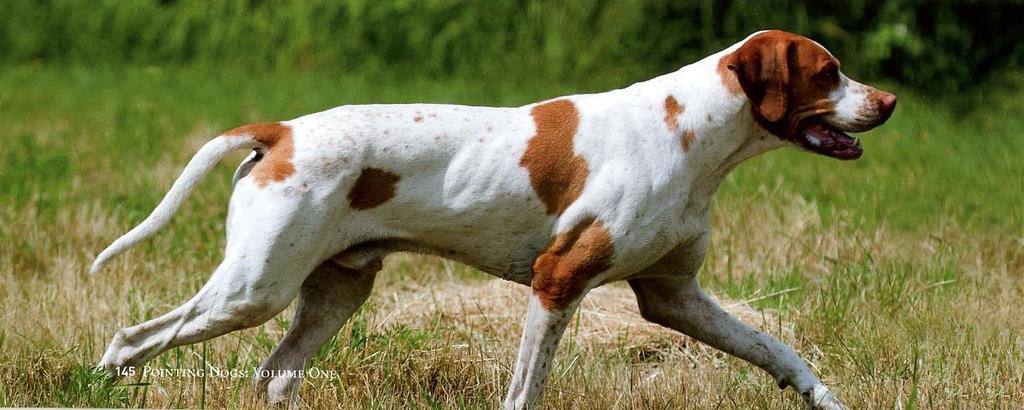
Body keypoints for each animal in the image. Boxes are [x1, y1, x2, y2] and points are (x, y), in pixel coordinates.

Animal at [94, 31, 897, 410]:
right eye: (828, 73)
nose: (888, 101)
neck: (689, 133)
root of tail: (282, 131)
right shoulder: (557, 281)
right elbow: (524, 391)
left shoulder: (675, 298)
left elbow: (780, 351)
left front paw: (825, 398)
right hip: (252, 289)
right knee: (132, 339)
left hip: (332, 292)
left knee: (272, 377)